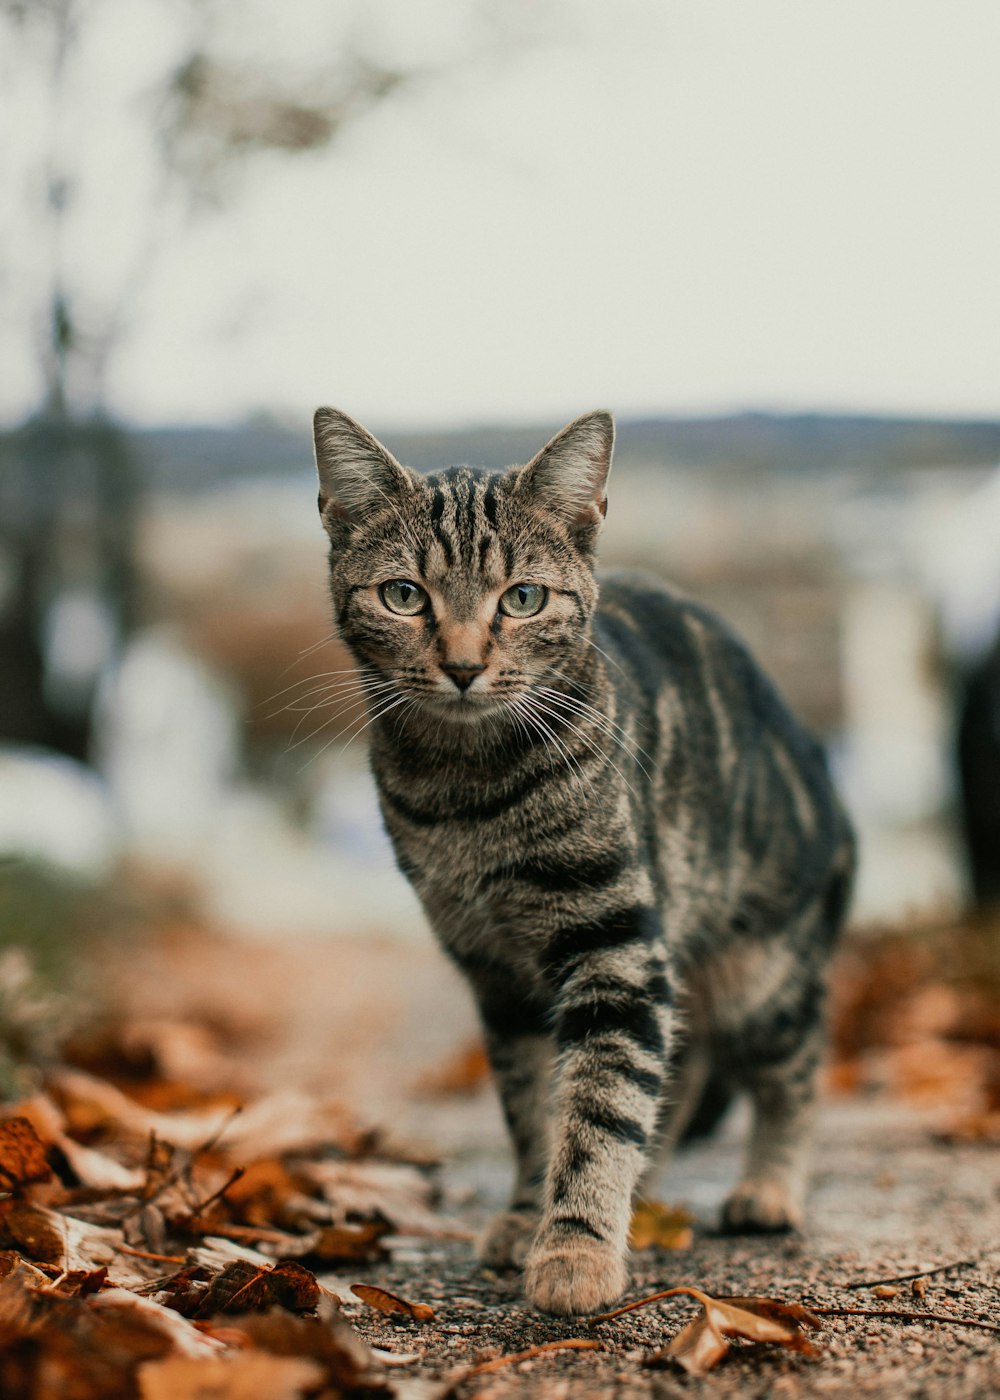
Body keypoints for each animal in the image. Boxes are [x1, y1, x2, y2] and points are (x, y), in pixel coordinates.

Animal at [309, 406, 851, 1310]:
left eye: (523, 598)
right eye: (403, 595)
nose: (464, 666)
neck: (469, 796)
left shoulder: (615, 948)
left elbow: (599, 1106)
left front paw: (575, 1248)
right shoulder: (498, 974)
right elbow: (535, 1109)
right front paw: (529, 1215)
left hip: (760, 967)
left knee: (794, 1064)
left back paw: (769, 1187)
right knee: (684, 1070)